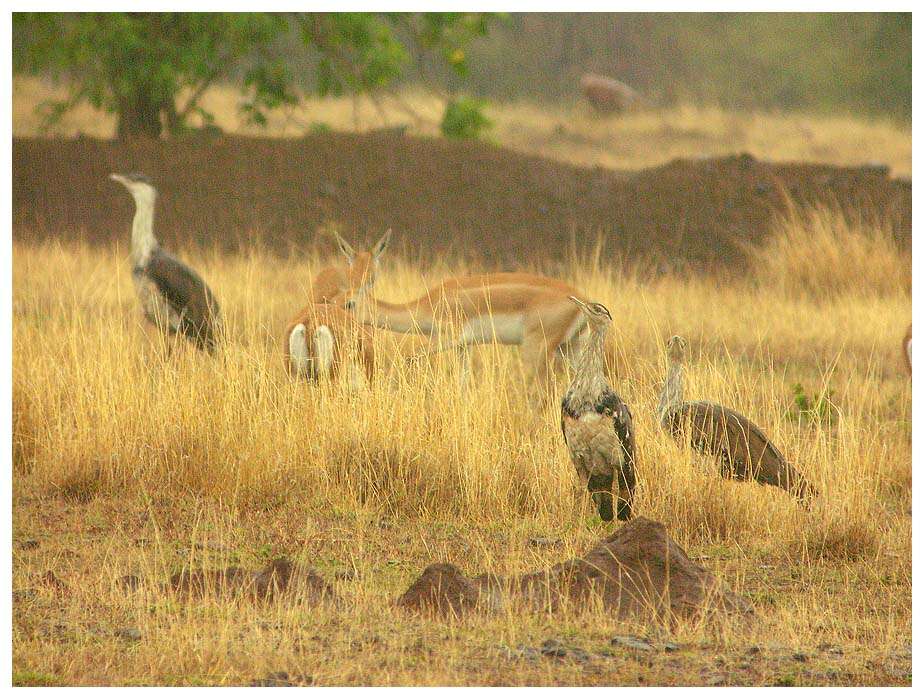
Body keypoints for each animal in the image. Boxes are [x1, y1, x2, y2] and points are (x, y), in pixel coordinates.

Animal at [342, 270, 616, 388]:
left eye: (349, 303)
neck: (432, 301)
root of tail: (582, 299)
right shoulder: (464, 346)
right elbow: (462, 380)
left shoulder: (448, 339)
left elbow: (410, 358)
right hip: (570, 348)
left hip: (535, 350)